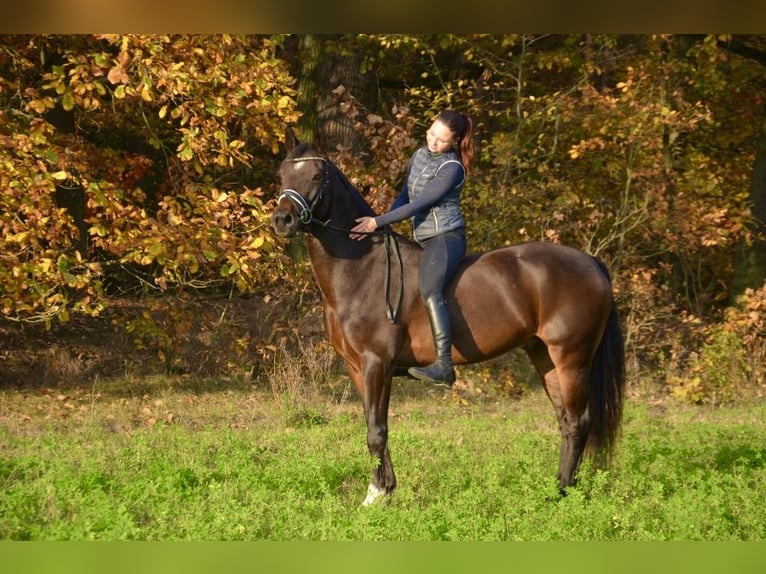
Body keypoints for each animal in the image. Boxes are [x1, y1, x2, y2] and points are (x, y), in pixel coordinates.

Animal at [270, 133, 624, 506]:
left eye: (316, 177)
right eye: (282, 176)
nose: (282, 220)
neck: (362, 269)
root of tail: (590, 262)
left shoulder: (376, 364)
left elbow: (377, 431)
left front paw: (377, 495)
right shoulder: (356, 367)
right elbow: (372, 426)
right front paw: (381, 490)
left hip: (572, 358)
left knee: (579, 421)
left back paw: (563, 494)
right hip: (544, 356)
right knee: (566, 421)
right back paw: (556, 490)